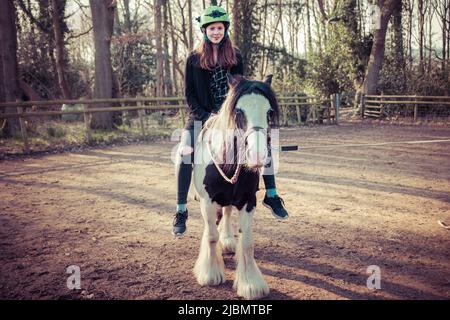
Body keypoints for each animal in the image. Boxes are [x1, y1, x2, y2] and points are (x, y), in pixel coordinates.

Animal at [192, 74, 278, 298]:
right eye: (238, 111)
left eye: (269, 111)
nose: (257, 155)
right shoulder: (207, 201)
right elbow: (211, 236)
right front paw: (211, 273)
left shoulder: (248, 202)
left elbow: (247, 243)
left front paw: (251, 283)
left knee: (227, 212)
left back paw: (228, 240)